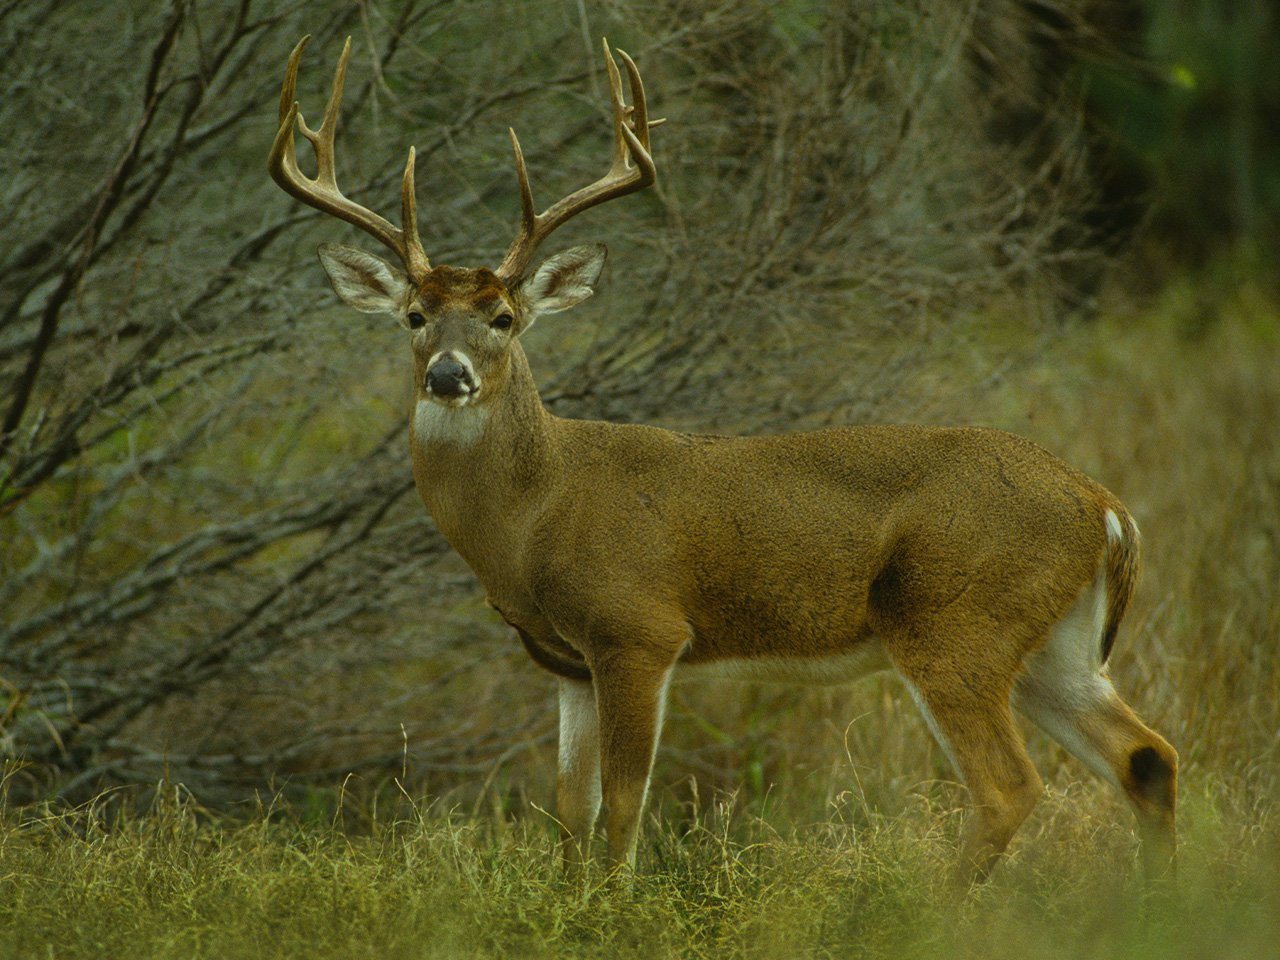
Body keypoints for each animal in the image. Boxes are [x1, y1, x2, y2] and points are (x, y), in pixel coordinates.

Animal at [270, 37, 1177, 890]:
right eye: (415, 315)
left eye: (502, 317)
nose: (447, 375)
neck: (537, 511)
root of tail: (1105, 507)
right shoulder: (565, 661)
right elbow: (569, 806)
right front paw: (569, 905)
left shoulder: (639, 628)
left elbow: (624, 802)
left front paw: (614, 909)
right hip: (1055, 644)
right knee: (1146, 757)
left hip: (955, 619)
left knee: (1010, 785)